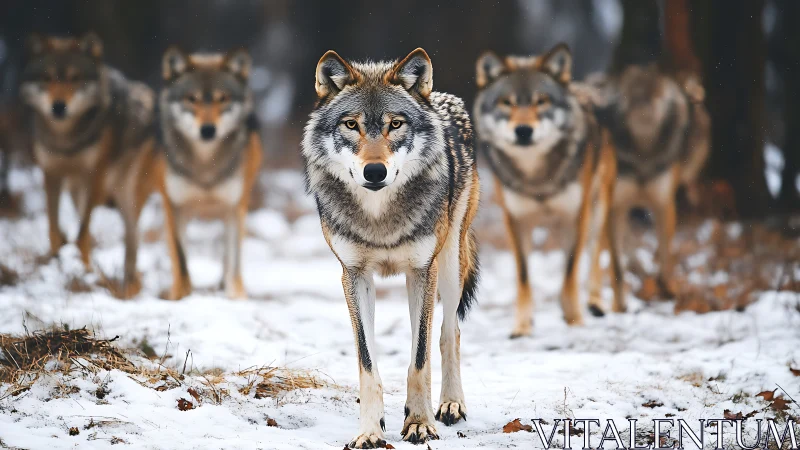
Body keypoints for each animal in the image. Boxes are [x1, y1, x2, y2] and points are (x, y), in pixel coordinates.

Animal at [20, 32, 158, 298]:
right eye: (47, 78)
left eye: (75, 78)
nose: (58, 106)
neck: (66, 139)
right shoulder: (51, 173)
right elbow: (54, 229)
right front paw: (58, 261)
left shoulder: (96, 175)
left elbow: (82, 234)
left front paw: (82, 273)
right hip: (77, 191)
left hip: (127, 194)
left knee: (131, 239)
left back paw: (128, 287)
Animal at [157, 47, 262, 300]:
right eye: (191, 98)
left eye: (222, 98)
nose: (207, 130)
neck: (206, 165)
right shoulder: (173, 206)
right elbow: (180, 259)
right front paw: (180, 295)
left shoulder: (236, 207)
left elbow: (234, 260)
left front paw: (236, 296)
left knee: (227, 255)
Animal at [302, 48, 480, 447]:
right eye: (351, 125)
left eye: (395, 124)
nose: (374, 172)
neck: (379, 218)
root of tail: (443, 98)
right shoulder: (353, 276)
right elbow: (367, 363)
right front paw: (370, 430)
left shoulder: (422, 272)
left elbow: (420, 358)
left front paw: (419, 423)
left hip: (449, 267)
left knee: (451, 333)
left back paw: (451, 404)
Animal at [474, 44, 625, 338]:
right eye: (507, 102)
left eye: (541, 101)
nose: (523, 131)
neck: (537, 178)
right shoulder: (516, 220)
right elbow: (524, 277)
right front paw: (522, 327)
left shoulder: (576, 217)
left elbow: (570, 273)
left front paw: (575, 320)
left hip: (598, 209)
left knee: (596, 254)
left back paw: (596, 303)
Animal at [591, 64, 710, 298]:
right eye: (632, 93)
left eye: (657, 93)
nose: (643, 102)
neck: (643, 154)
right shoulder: (617, 205)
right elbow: (617, 259)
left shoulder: (663, 203)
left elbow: (666, 251)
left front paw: (668, 287)